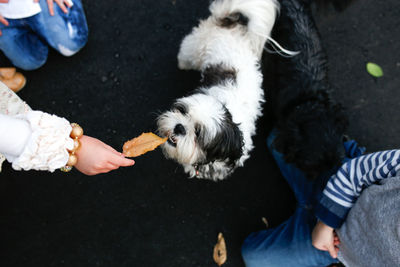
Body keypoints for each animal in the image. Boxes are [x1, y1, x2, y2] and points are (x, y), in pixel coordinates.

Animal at [158, 0, 280, 182]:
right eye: (182, 111)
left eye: (198, 133)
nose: (179, 127)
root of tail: (231, 23)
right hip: (194, 47)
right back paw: (183, 64)